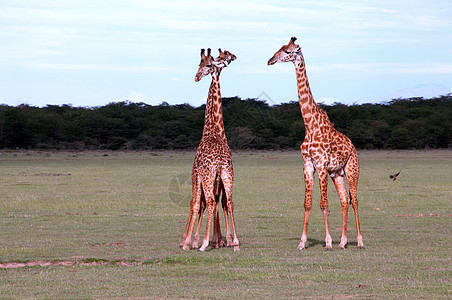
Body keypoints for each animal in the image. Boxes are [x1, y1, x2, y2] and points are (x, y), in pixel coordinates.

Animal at [179, 48, 240, 252]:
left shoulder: (196, 173)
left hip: (208, 176)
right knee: (228, 202)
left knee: (210, 201)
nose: (196, 77)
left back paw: (204, 243)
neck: (211, 128)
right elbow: (216, 203)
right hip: (227, 174)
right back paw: (235, 243)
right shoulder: (218, 178)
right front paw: (222, 240)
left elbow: (196, 203)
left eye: (206, 64)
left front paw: (190, 241)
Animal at [268, 37, 364, 251]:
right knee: (345, 200)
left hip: (352, 169)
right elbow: (308, 203)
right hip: (337, 173)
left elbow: (324, 204)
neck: (309, 124)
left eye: (287, 51)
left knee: (355, 200)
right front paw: (302, 242)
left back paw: (360, 241)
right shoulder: (307, 165)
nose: (270, 60)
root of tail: (353, 147)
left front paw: (327, 242)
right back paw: (343, 242)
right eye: (280, 47)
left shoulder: (321, 165)